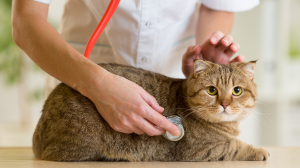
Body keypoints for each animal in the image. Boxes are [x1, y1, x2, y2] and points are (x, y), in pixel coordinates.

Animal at [32, 60, 270, 161]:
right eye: (212, 90)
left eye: (237, 91)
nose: (225, 103)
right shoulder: (199, 150)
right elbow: (235, 147)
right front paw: (259, 150)